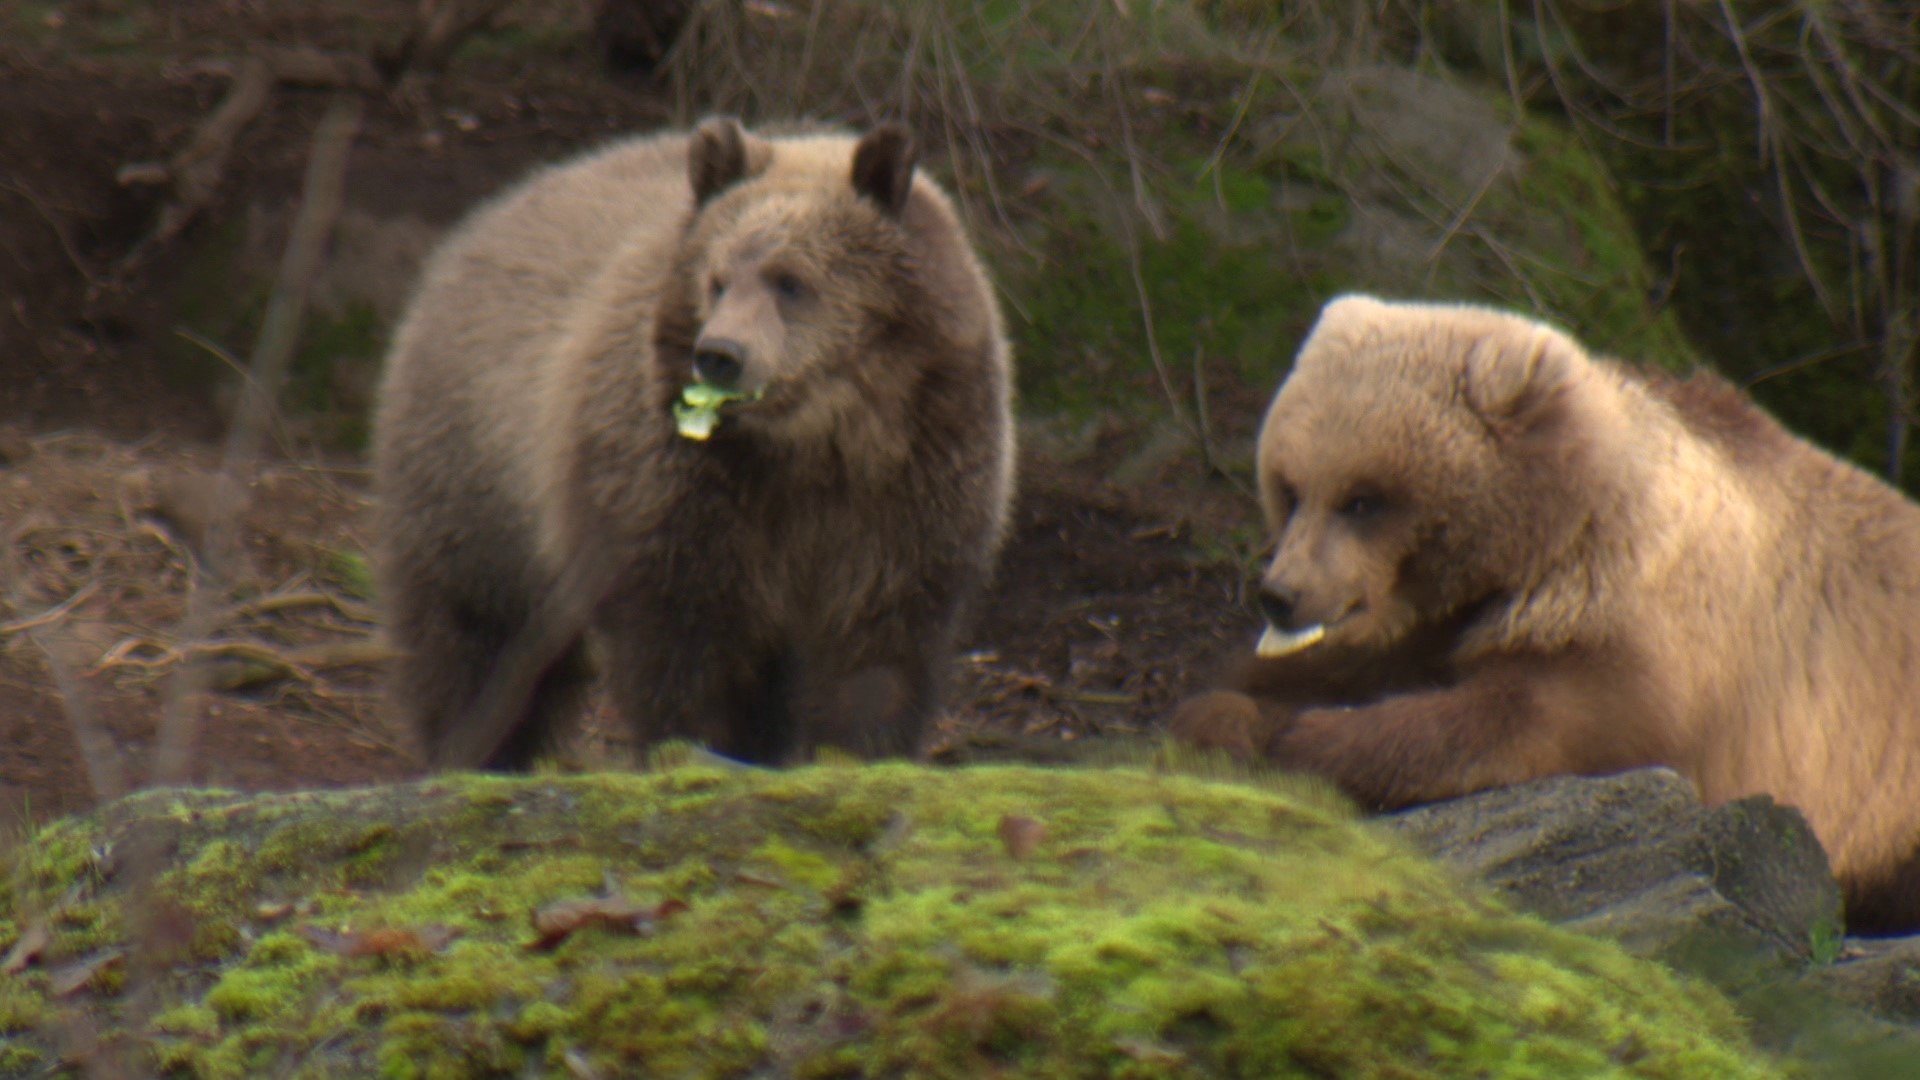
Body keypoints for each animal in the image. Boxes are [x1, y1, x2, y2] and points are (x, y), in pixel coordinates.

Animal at [364, 119, 1013, 764]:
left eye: (790, 280)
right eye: (719, 279)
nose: (720, 355)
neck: (813, 444)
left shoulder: (914, 482)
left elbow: (881, 649)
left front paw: (859, 749)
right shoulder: (675, 488)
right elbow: (684, 644)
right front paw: (696, 744)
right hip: (478, 473)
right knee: (478, 636)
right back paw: (474, 750)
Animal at [1159, 292, 1920, 926]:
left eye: (1364, 499)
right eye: (1290, 488)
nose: (1280, 594)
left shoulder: (1647, 630)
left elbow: (1534, 717)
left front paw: (1309, 737)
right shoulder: (1412, 625)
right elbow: (1282, 676)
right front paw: (1230, 718)